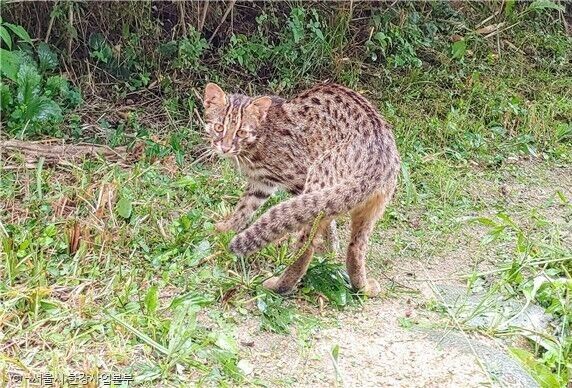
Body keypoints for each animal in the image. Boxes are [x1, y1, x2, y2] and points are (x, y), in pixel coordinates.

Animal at [203, 81, 400, 294]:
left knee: (307, 244)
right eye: (218, 127)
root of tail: (377, 161)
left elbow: (327, 225)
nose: (225, 148)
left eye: (241, 132)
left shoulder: (298, 179)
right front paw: (225, 229)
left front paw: (330, 248)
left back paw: (279, 285)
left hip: (319, 176)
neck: (259, 138)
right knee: (356, 246)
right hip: (372, 205)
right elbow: (244, 208)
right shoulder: (262, 184)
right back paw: (362, 287)